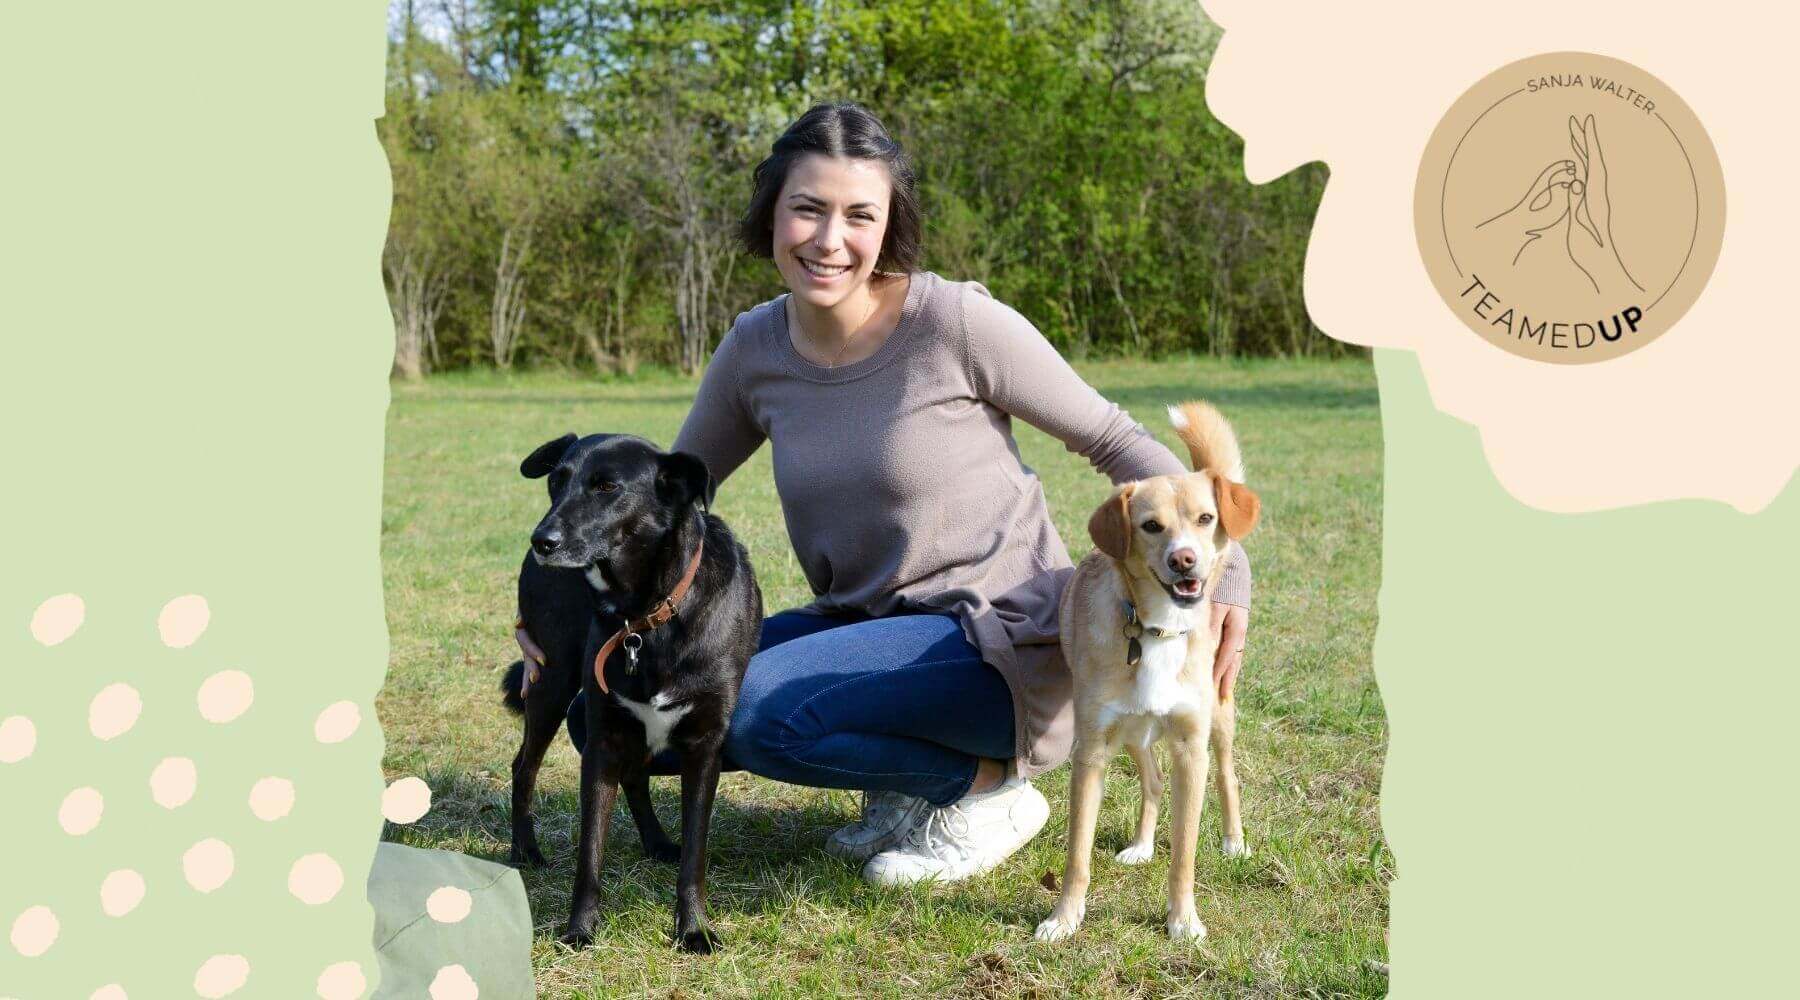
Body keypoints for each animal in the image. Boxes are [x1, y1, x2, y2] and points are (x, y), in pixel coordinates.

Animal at [500, 435, 759, 949]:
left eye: (607, 487)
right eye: (556, 480)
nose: (542, 541)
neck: (645, 616)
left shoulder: (704, 746)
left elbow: (694, 856)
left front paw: (694, 930)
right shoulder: (603, 739)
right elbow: (589, 855)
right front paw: (579, 930)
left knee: (636, 775)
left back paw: (656, 842)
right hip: (552, 682)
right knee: (524, 767)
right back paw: (526, 850)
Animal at [1036, 401, 1260, 942]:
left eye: (1206, 518)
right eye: (1150, 526)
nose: (1185, 561)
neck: (1159, 628)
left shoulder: (1190, 747)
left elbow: (1184, 854)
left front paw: (1183, 921)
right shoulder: (1091, 751)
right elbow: (1077, 854)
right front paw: (1064, 919)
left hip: (1219, 714)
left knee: (1227, 776)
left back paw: (1234, 841)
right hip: (1133, 732)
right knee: (1153, 780)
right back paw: (1140, 845)